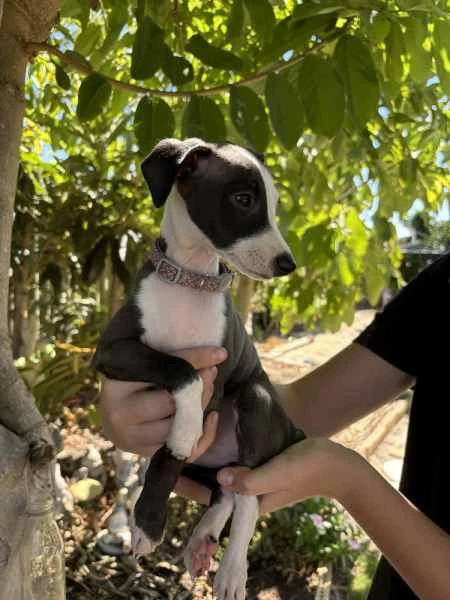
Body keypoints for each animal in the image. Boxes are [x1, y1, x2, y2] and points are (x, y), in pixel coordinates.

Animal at [94, 138, 306, 596]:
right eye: (243, 199)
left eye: (274, 204)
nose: (287, 264)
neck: (189, 280)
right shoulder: (112, 351)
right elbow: (178, 368)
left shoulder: (219, 381)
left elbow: (168, 456)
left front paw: (148, 524)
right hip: (213, 461)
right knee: (225, 489)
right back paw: (203, 538)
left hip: (254, 396)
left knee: (247, 493)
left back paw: (231, 570)